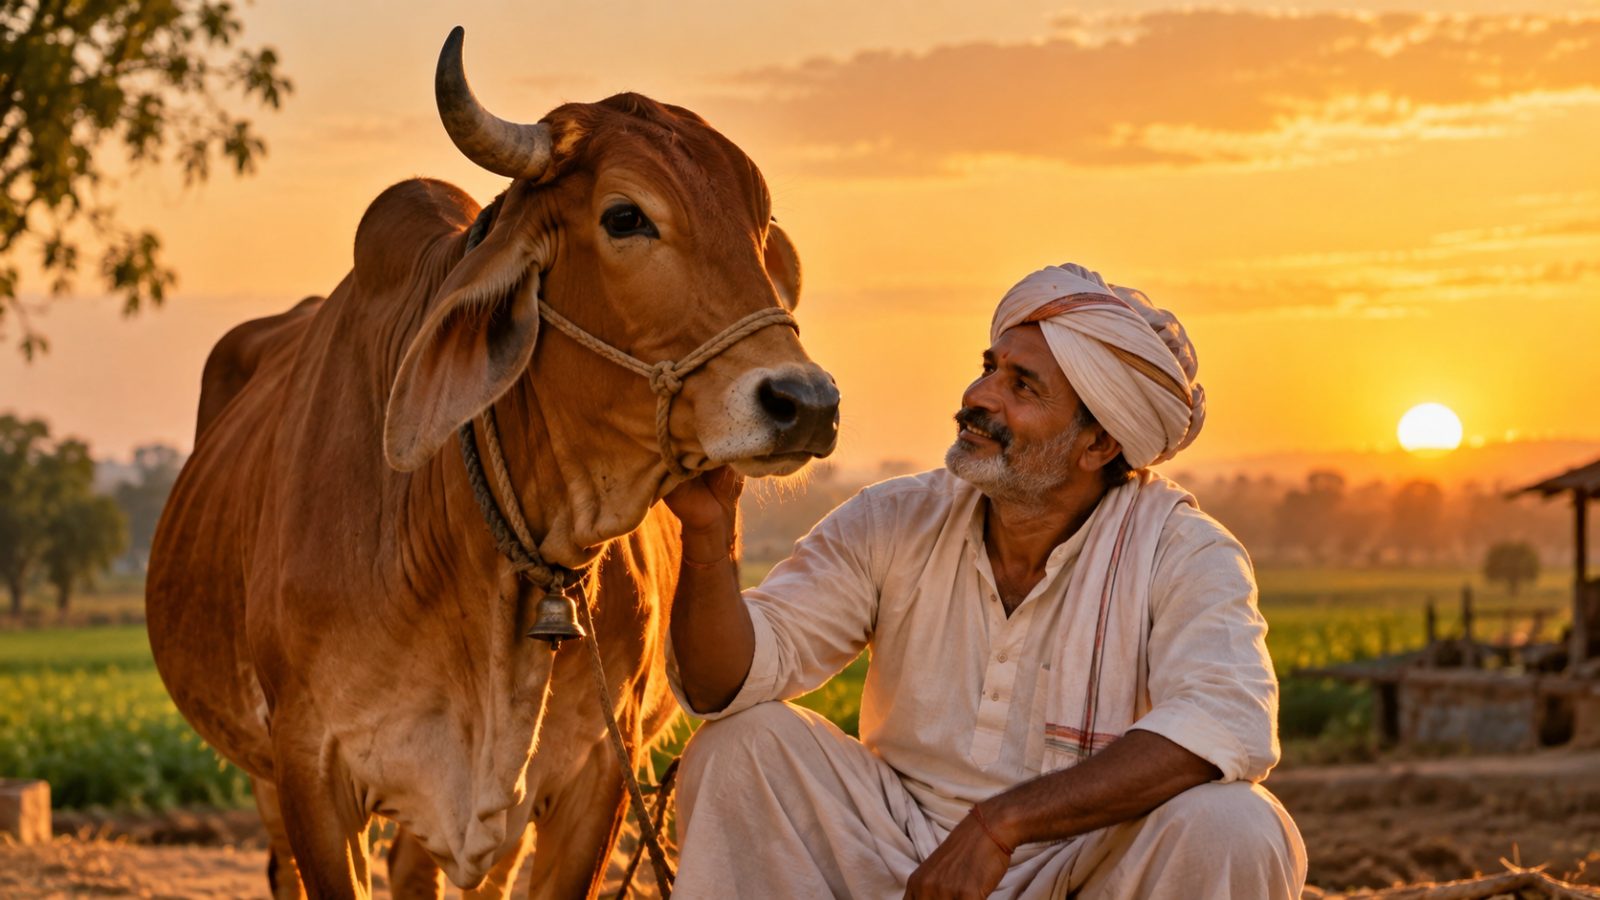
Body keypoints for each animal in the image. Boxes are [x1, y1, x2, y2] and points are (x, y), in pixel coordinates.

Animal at [146, 27, 839, 900]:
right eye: (625, 215)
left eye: (761, 226)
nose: (805, 401)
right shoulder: (312, 771)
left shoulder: (594, 776)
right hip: (266, 775)